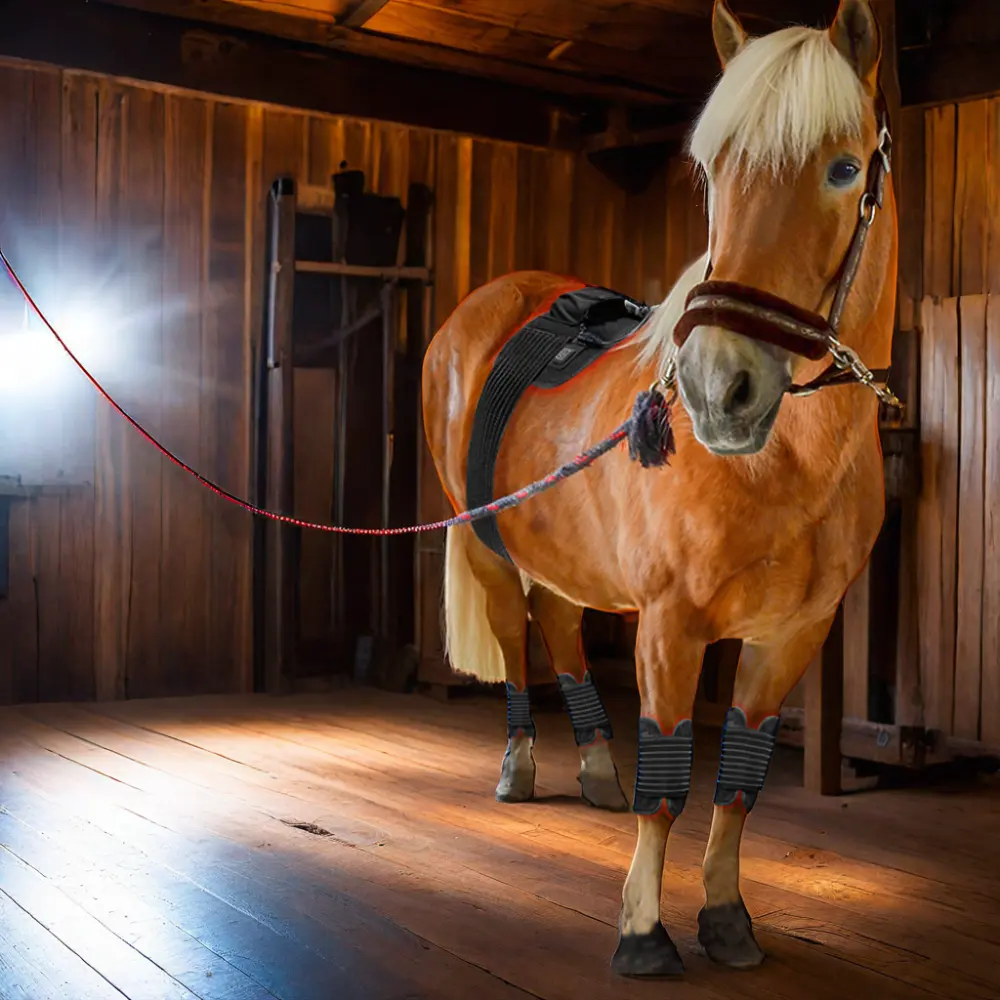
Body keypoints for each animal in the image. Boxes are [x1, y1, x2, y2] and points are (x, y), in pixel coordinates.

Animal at [422, 0, 900, 976]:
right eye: (713, 173)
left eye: (843, 169)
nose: (719, 388)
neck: (786, 462)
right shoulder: (671, 625)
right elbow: (670, 780)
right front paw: (643, 929)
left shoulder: (792, 635)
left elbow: (741, 782)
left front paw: (726, 917)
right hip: (487, 545)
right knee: (517, 644)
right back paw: (521, 768)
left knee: (561, 626)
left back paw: (596, 770)